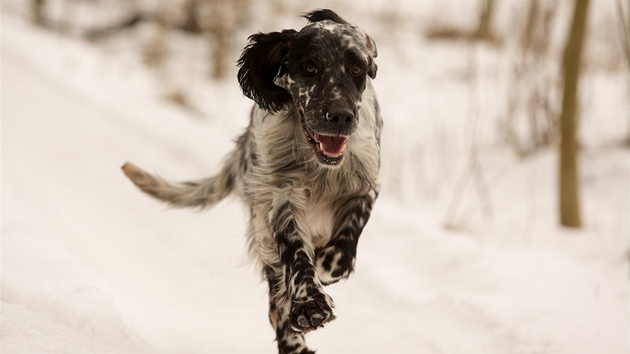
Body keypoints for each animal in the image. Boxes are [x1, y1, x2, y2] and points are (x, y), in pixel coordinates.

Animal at [121, 9, 382, 354]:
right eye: (310, 67)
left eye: (356, 68)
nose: (339, 116)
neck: (319, 164)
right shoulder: (281, 195)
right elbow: (296, 253)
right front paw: (309, 304)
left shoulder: (364, 182)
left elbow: (342, 250)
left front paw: (326, 267)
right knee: (275, 304)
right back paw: (293, 340)